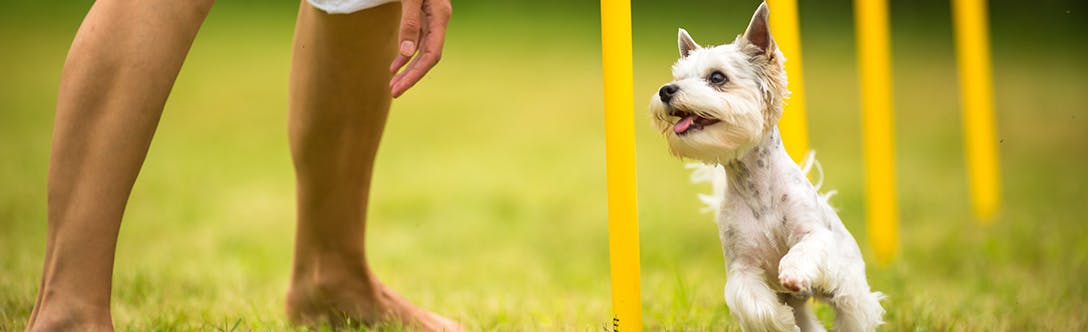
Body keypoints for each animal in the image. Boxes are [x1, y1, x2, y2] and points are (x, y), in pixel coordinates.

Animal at [644, 1, 883, 328]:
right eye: (678, 77)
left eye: (717, 77)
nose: (666, 90)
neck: (757, 189)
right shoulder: (742, 268)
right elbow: (755, 305)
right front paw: (781, 319)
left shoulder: (814, 236)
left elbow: (802, 251)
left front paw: (793, 273)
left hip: (850, 294)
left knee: (854, 312)